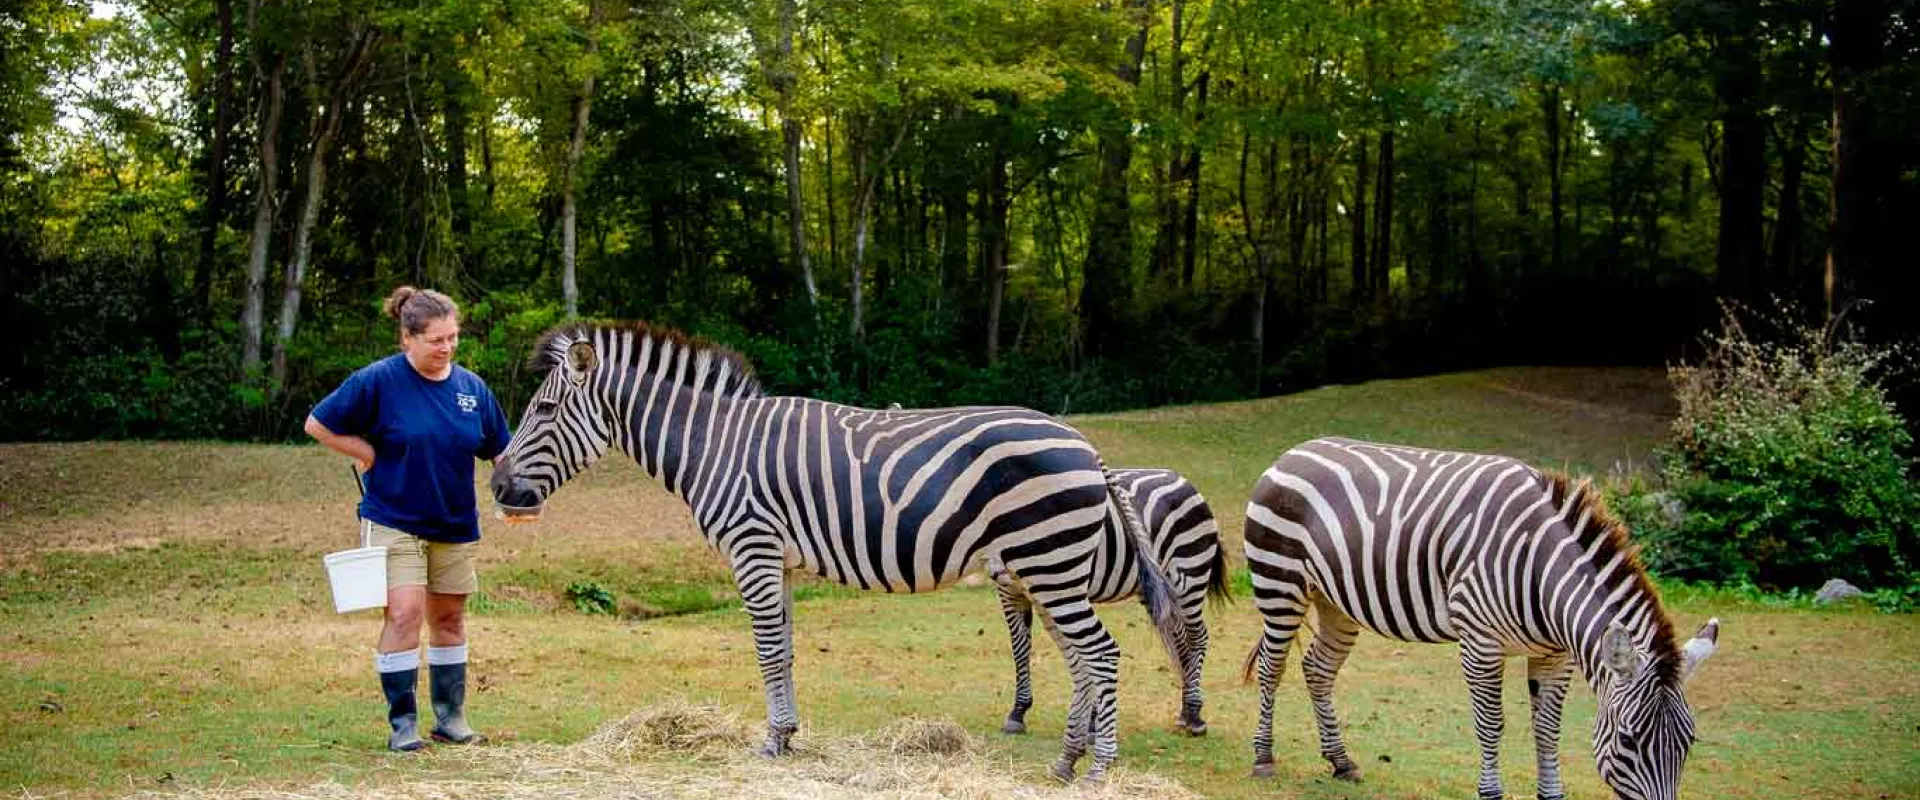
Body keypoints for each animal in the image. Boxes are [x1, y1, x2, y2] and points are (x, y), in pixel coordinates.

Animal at [489, 322, 1188, 783]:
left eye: (543, 409)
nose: (495, 487)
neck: (713, 445)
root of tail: (1084, 443)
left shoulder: (752, 546)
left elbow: (767, 650)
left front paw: (771, 742)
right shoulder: (778, 559)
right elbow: (786, 649)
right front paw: (788, 735)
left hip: (1049, 561)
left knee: (1102, 654)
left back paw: (1098, 769)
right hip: (1048, 567)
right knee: (1081, 660)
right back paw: (1067, 761)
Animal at [987, 466, 1229, 738]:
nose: (998, 570)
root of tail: (1182, 480)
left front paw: (1092, 720)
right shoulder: (1014, 592)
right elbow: (1021, 648)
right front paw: (1019, 711)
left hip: (1189, 578)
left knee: (1198, 637)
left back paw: (1195, 715)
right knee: (1181, 642)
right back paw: (1186, 711)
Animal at [1240, 437, 1721, 800]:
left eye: (1689, 741)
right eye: (1627, 740)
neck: (1540, 568)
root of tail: (1293, 451)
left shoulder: (1556, 656)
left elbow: (1547, 729)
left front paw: (1551, 795)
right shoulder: (1480, 642)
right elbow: (1491, 725)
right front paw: (1490, 793)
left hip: (1335, 602)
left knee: (1317, 669)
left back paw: (1341, 762)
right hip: (1279, 585)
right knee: (1271, 667)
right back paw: (1263, 758)